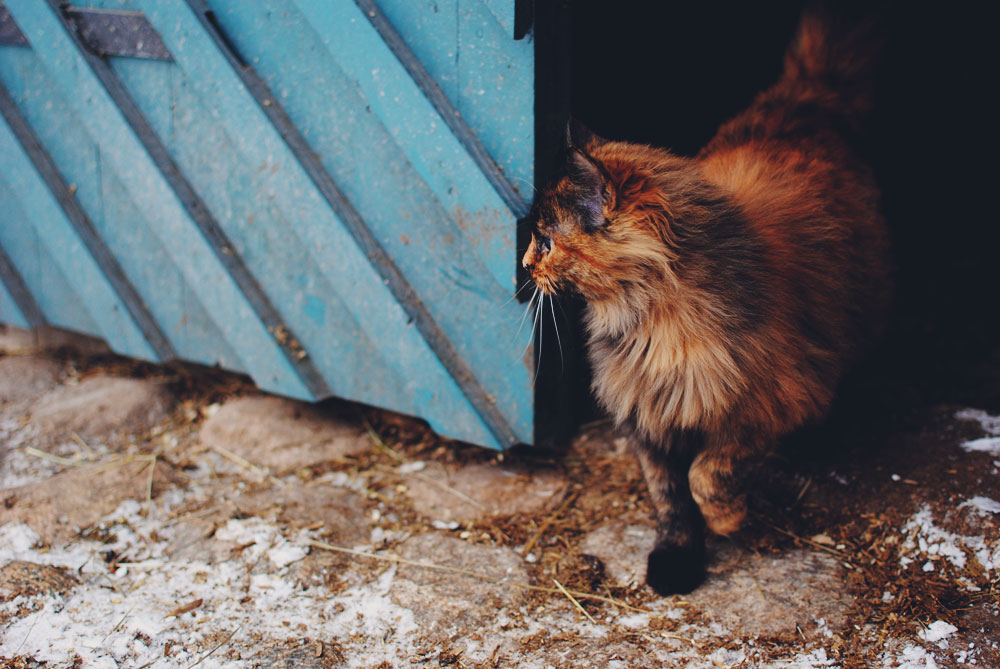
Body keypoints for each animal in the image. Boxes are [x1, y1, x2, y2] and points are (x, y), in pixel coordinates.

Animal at [524, 13, 892, 592]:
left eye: (544, 241)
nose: (523, 266)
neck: (651, 325)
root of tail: (804, 97)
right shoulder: (647, 412)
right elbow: (670, 498)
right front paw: (677, 560)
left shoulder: (768, 402)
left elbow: (708, 473)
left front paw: (729, 519)